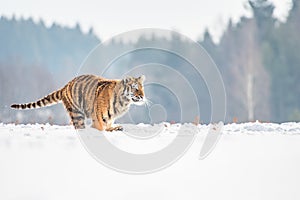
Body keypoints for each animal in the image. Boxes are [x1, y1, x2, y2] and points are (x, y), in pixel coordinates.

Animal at [11, 74, 146, 132]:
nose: (142, 96)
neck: (123, 102)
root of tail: (66, 86)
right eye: (135, 88)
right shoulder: (99, 119)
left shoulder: (110, 118)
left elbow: (109, 125)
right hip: (77, 114)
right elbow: (101, 128)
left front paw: (116, 128)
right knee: (79, 126)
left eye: (142, 87)